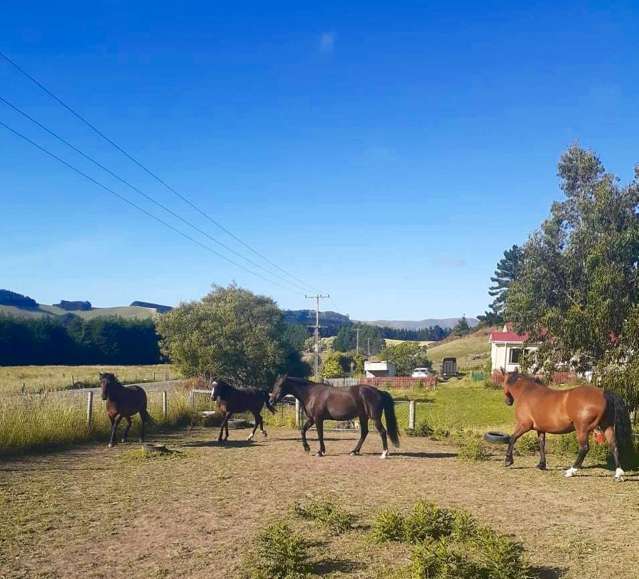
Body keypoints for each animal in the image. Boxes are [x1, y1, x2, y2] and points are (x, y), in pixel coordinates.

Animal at [270, 374, 400, 460]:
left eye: (280, 385)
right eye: (274, 384)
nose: (271, 401)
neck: (311, 394)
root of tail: (379, 391)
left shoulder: (318, 419)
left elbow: (320, 435)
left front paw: (320, 452)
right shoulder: (311, 419)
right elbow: (303, 431)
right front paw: (307, 448)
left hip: (375, 418)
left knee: (382, 432)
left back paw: (384, 454)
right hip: (363, 417)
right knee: (364, 432)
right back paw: (354, 451)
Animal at [504, 372, 636, 480]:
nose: (507, 402)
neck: (528, 392)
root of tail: (603, 394)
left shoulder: (524, 425)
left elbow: (512, 438)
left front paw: (508, 461)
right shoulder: (540, 429)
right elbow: (541, 444)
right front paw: (542, 464)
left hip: (582, 429)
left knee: (584, 448)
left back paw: (571, 471)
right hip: (606, 427)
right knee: (614, 446)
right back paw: (618, 474)